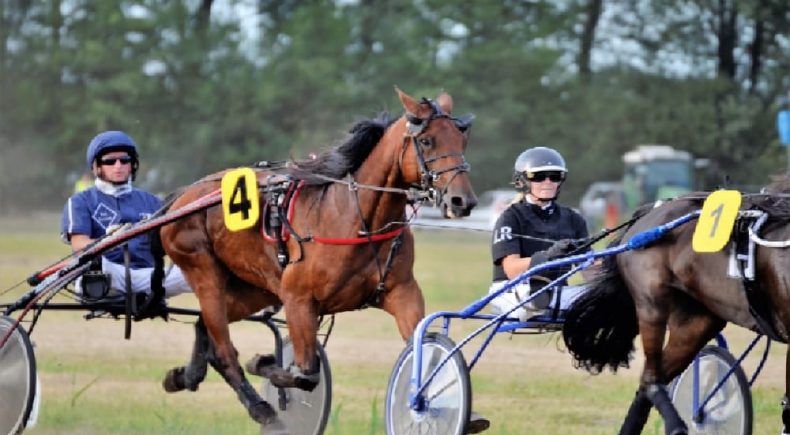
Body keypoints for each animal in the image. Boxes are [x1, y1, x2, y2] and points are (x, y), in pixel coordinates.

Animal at [155, 87, 476, 430]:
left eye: (461, 140)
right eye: (427, 141)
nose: (463, 200)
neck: (356, 219)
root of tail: (186, 194)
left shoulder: (402, 292)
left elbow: (421, 345)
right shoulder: (298, 298)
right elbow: (306, 374)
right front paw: (263, 363)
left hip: (256, 288)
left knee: (206, 324)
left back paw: (185, 376)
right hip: (204, 270)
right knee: (223, 346)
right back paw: (259, 406)